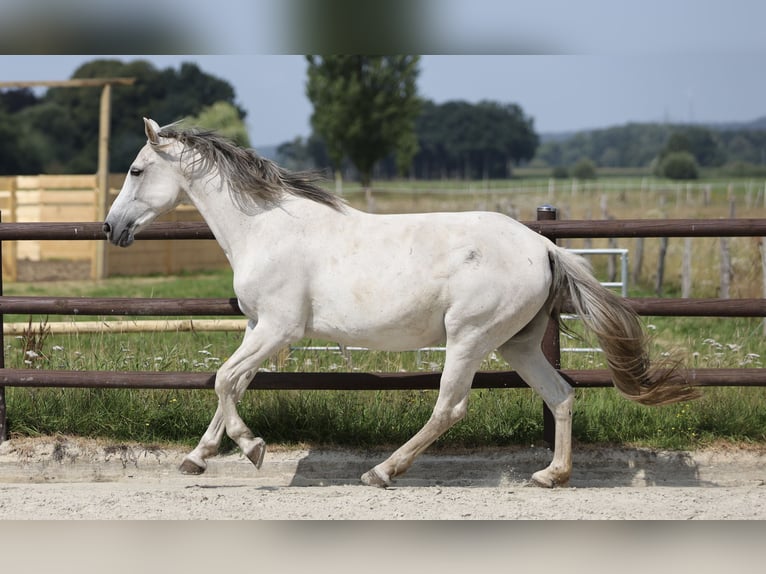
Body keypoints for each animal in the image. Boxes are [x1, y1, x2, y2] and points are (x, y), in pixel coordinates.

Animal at [104, 118, 698, 488]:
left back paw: (382, 472)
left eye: (135, 170)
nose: (111, 228)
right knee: (562, 395)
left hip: (469, 338)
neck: (267, 228)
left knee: (450, 407)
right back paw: (551, 475)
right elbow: (231, 383)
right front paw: (197, 458)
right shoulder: (258, 327)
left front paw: (252, 448)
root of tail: (546, 246)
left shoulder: (279, 328)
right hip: (518, 345)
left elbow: (226, 380)